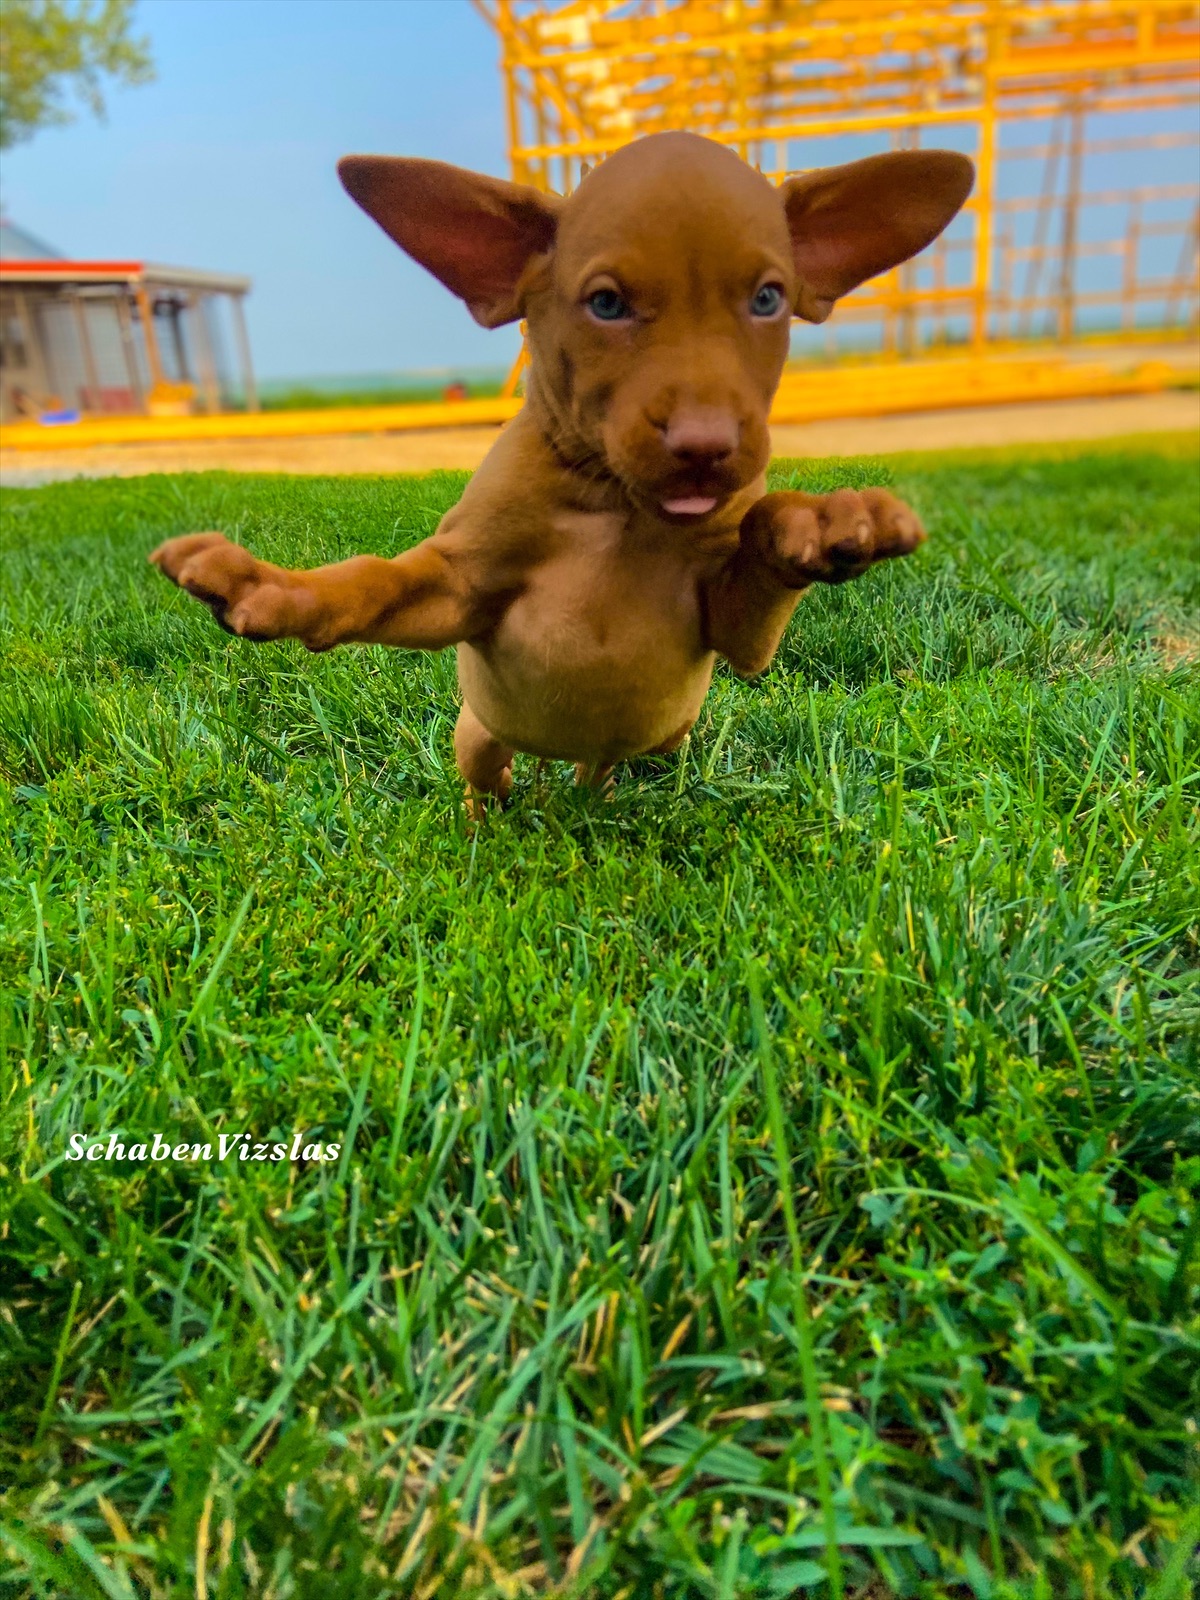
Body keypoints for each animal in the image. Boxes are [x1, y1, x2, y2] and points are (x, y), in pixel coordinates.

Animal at [150, 129, 979, 800]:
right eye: (605, 305)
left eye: (769, 299)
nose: (706, 449)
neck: (610, 508)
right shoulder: (457, 590)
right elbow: (368, 580)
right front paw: (274, 589)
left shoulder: (739, 638)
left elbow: (762, 539)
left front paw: (826, 521)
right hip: (479, 734)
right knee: (489, 779)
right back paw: (493, 818)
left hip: (664, 732)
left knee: (606, 765)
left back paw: (590, 794)